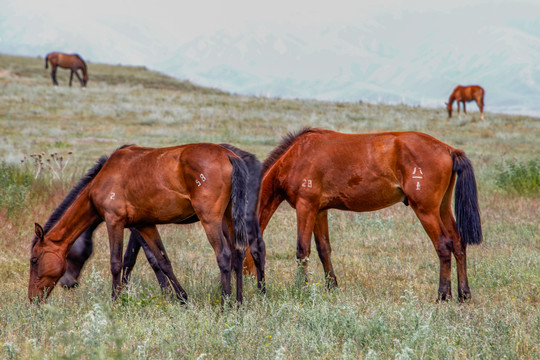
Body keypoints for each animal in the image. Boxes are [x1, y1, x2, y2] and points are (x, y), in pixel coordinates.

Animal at [28, 143, 250, 304]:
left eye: (34, 260)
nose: (32, 299)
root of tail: (228, 155)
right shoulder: (146, 225)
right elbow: (163, 261)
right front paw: (181, 298)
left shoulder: (114, 221)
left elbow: (116, 263)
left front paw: (115, 301)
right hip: (228, 218)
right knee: (238, 253)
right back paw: (238, 302)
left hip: (211, 220)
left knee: (223, 255)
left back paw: (226, 303)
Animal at [255, 128, 484, 302]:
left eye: (254, 254)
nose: (259, 290)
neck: (297, 156)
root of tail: (448, 149)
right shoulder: (319, 211)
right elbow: (324, 250)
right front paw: (332, 287)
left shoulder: (306, 207)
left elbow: (302, 250)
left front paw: (301, 289)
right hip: (442, 208)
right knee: (458, 243)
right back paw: (464, 294)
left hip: (426, 211)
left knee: (443, 246)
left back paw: (443, 295)